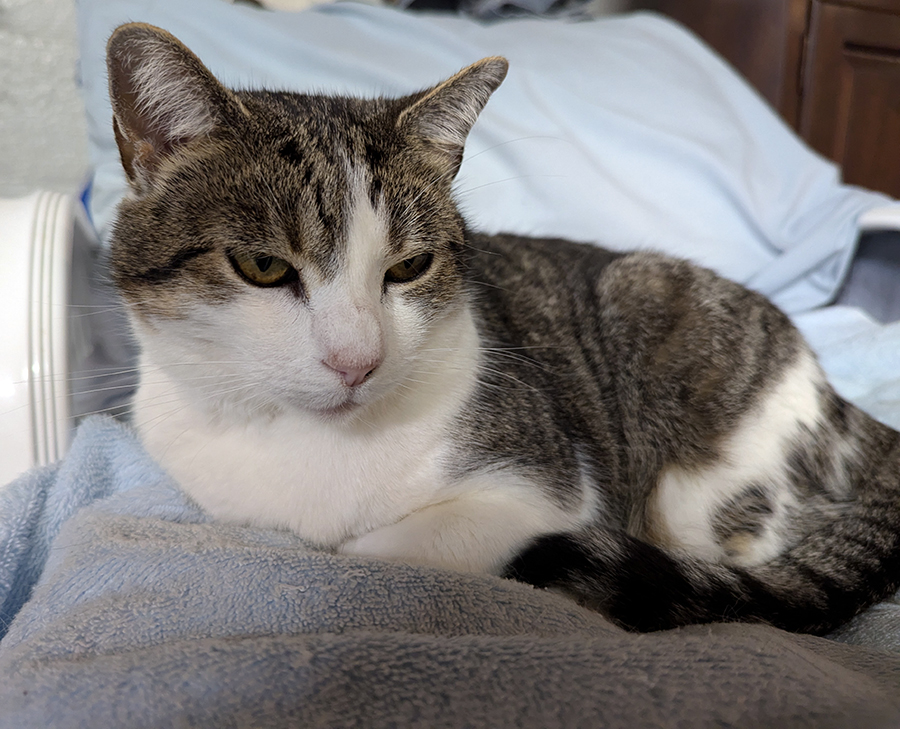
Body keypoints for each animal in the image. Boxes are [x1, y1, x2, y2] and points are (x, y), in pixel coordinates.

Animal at [103, 22, 900, 636]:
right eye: (263, 265)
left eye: (409, 266)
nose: (357, 360)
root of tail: (848, 408)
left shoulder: (542, 491)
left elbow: (386, 552)